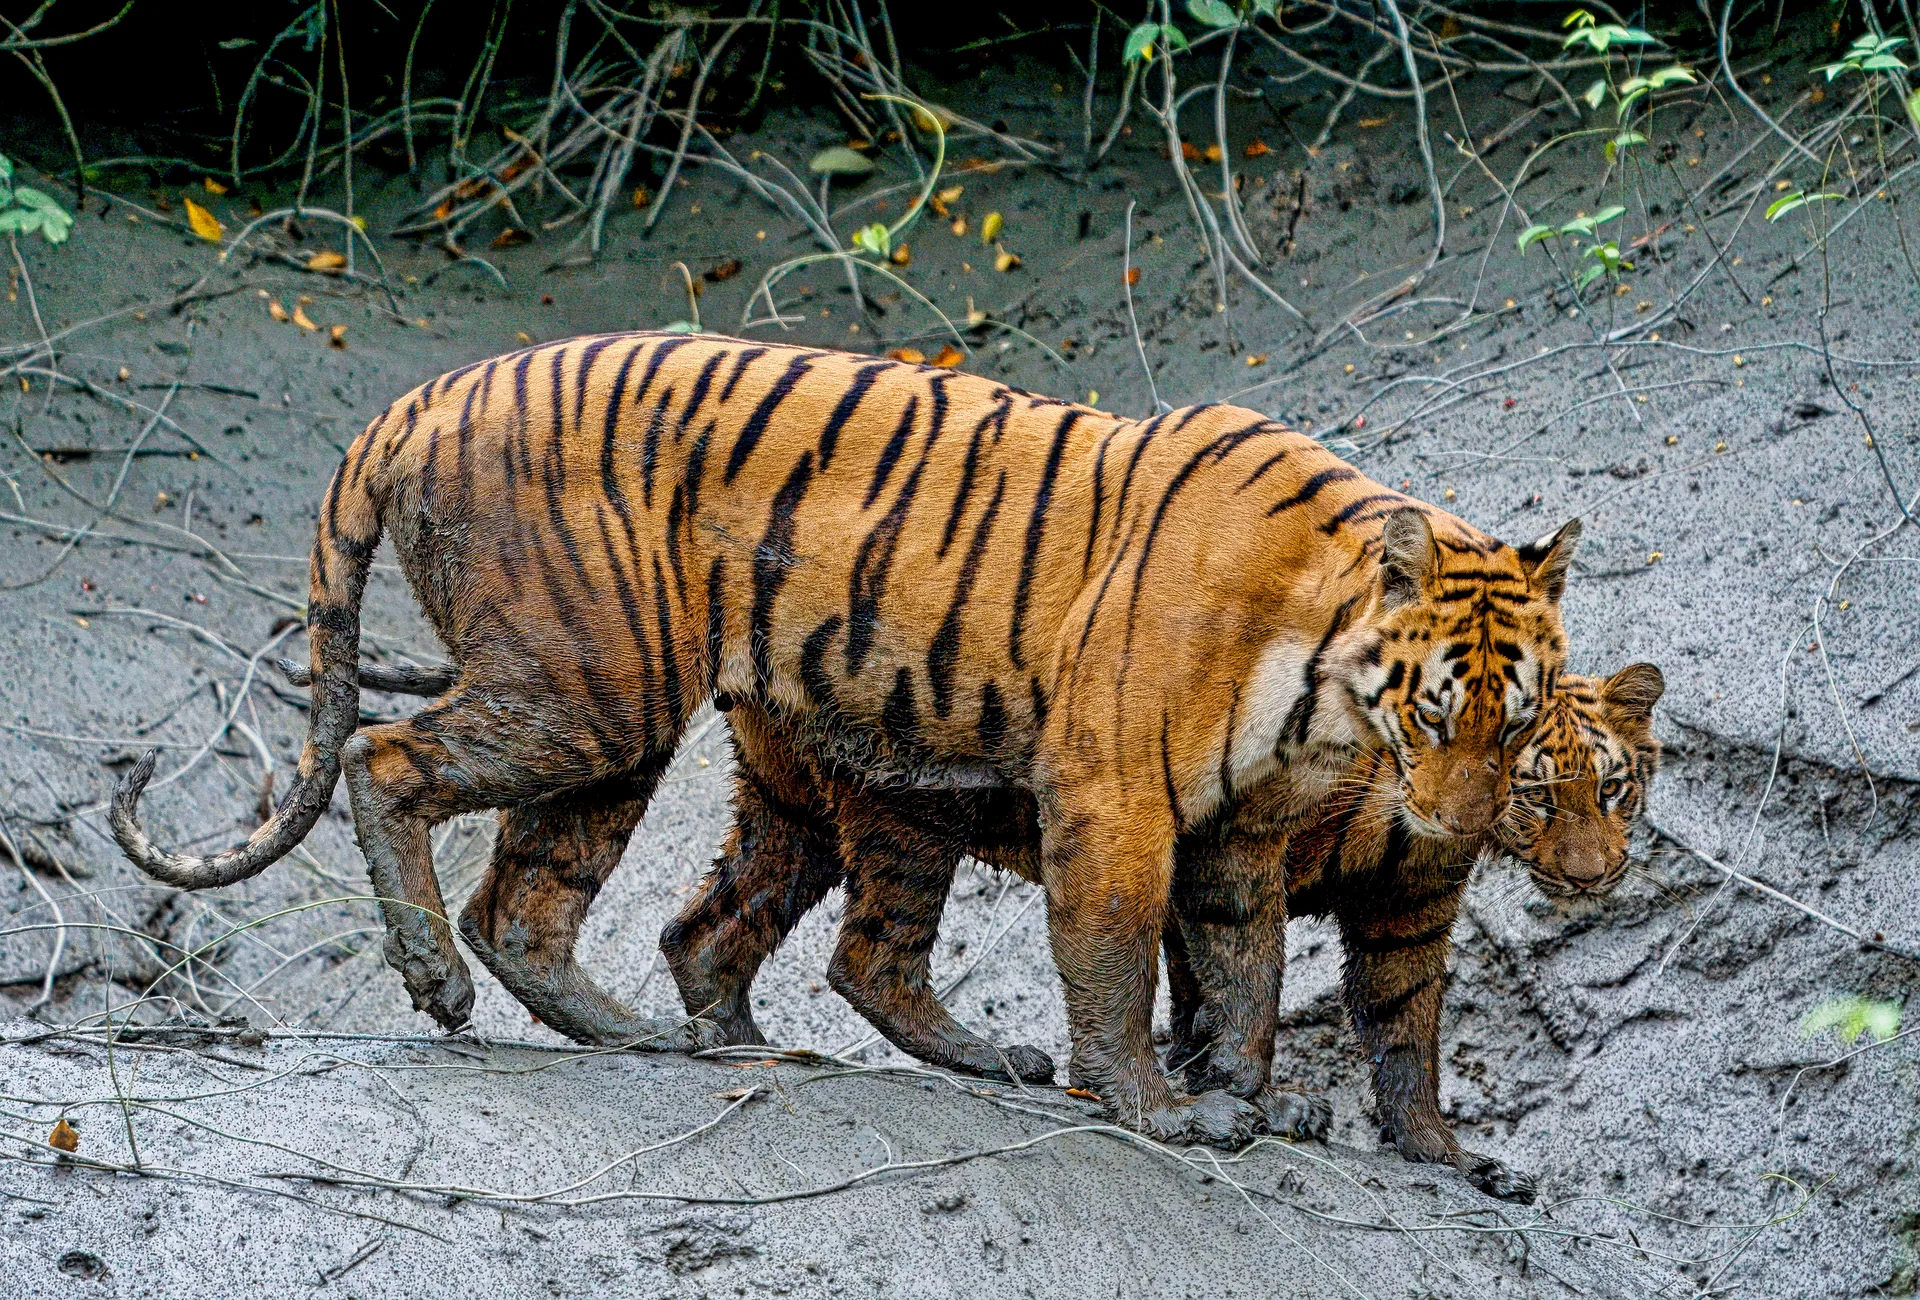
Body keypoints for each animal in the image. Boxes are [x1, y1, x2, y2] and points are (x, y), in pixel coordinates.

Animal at [109, 331, 1581, 1145]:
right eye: (1439, 710)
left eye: (1522, 726)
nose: (1458, 827)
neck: (1320, 684)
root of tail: (415, 400)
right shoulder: (1116, 798)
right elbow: (1117, 960)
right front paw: (1159, 1109)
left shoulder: (1238, 835)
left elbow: (1242, 975)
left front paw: (1249, 1096)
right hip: (592, 685)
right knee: (387, 766)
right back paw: (439, 984)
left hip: (644, 730)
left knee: (550, 901)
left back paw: (650, 1034)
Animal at [655, 663, 1662, 1194]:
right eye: (1538, 794)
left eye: (1612, 787)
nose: (1592, 872)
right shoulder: (1223, 847)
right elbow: (1232, 984)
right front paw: (1248, 1103)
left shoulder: (1407, 912)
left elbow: (1406, 1033)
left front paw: (1446, 1157)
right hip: (913, 802)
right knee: (865, 956)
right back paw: (993, 1057)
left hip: (792, 810)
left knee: (701, 927)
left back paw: (737, 1041)